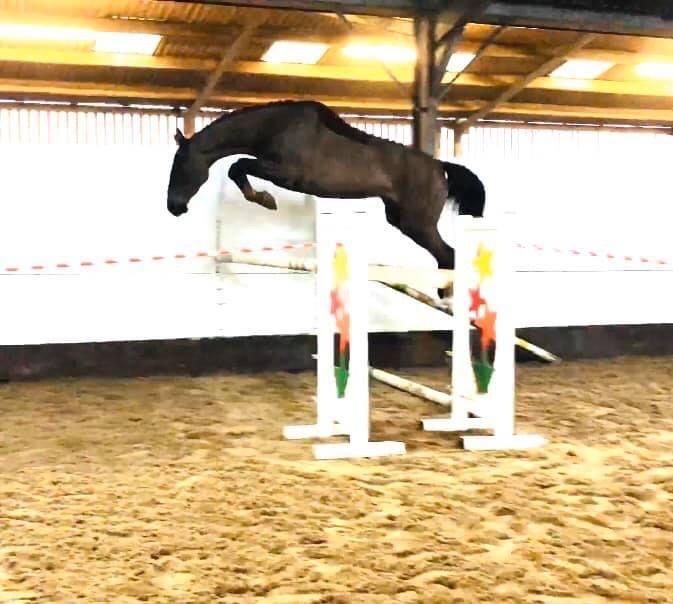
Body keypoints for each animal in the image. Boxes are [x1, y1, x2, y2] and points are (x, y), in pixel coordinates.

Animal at [166, 100, 486, 299]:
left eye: (180, 164)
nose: (174, 207)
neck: (273, 127)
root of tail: (440, 166)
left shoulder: (286, 173)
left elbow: (238, 166)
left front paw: (266, 199)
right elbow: (239, 167)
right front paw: (263, 198)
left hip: (417, 223)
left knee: (448, 254)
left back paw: (447, 294)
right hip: (400, 219)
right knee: (445, 255)